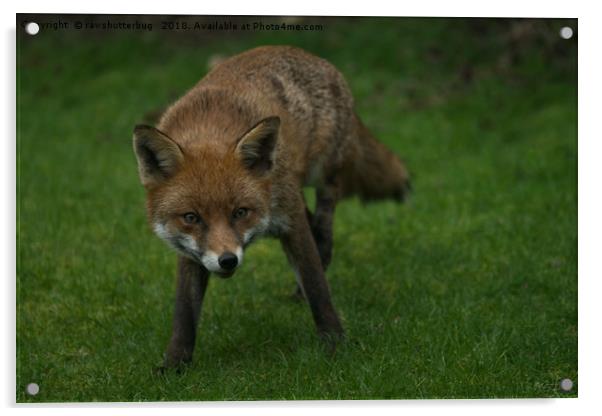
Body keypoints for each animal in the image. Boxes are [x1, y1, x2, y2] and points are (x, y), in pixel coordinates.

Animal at [134, 45, 410, 368]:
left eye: (240, 212)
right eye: (191, 217)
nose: (228, 261)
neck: (208, 128)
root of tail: (307, 54)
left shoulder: (290, 220)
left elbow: (316, 284)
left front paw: (334, 342)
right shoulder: (191, 251)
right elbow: (184, 311)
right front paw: (175, 363)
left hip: (321, 173)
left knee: (326, 218)